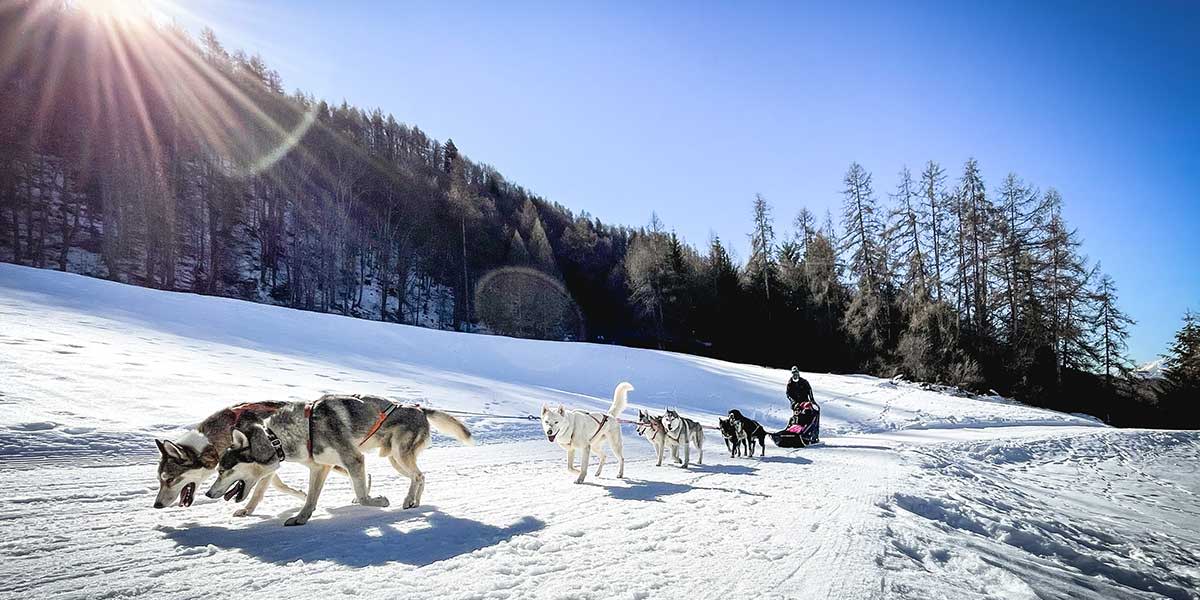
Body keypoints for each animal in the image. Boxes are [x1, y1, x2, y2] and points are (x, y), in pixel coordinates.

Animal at [154, 403, 309, 516]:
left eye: (169, 479)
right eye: (159, 480)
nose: (156, 505)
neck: (212, 444)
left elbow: (260, 489)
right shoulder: (266, 464)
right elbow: (276, 484)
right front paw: (302, 495)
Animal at [204, 393, 470, 525]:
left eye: (223, 471)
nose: (207, 493)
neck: (278, 439)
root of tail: (418, 408)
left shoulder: (354, 460)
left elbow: (363, 497)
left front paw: (379, 501)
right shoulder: (320, 468)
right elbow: (310, 499)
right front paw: (300, 518)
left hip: (399, 456)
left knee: (418, 475)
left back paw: (409, 501)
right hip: (394, 459)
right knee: (420, 476)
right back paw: (414, 501)